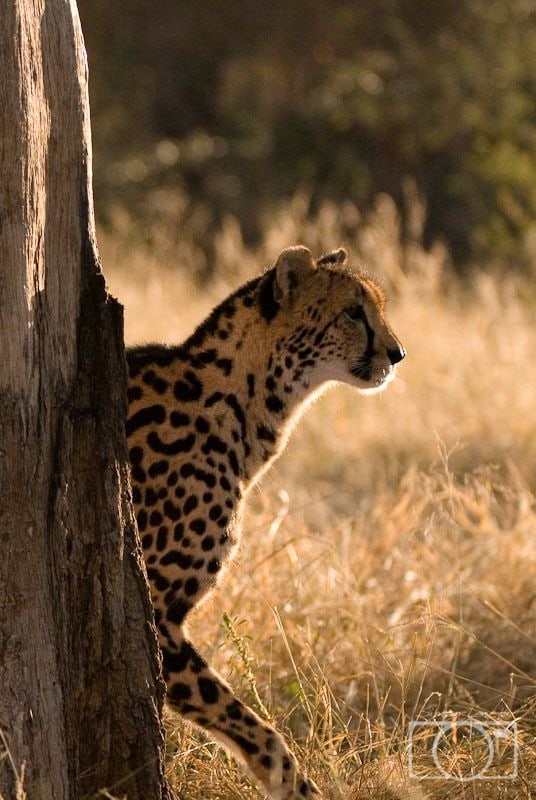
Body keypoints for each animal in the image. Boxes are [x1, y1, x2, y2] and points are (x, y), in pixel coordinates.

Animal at [126, 245, 405, 799]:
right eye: (353, 312)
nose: (398, 352)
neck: (241, 400)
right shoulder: (159, 614)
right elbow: (257, 729)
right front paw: (297, 789)